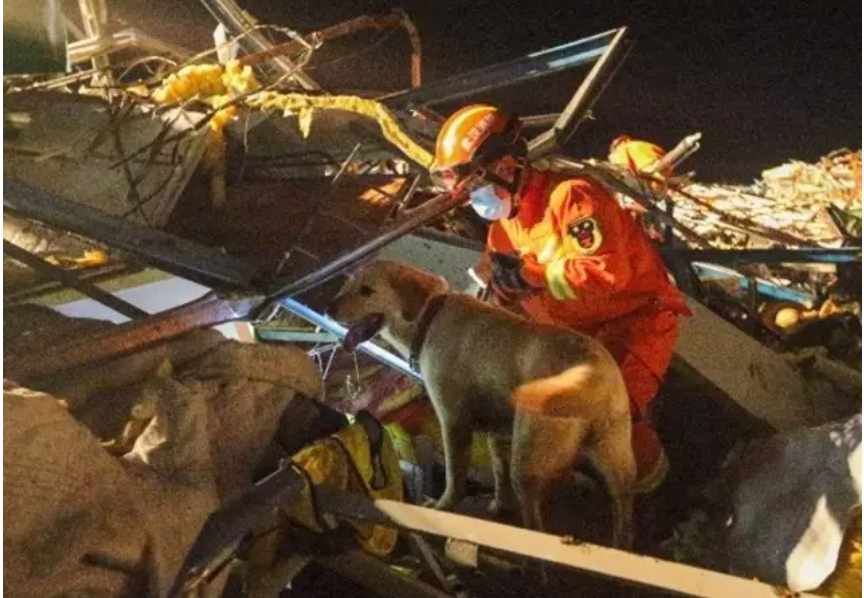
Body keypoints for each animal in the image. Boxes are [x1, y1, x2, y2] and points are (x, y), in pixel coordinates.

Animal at [330, 260, 636, 548]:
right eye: (348, 284)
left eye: (367, 290)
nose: (328, 308)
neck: (429, 319)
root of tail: (591, 372)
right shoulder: (496, 433)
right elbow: (499, 478)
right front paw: (499, 507)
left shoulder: (453, 422)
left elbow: (454, 479)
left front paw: (442, 507)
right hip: (613, 458)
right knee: (622, 508)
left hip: (527, 460)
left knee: (537, 524)